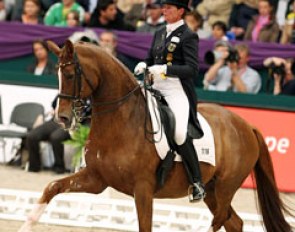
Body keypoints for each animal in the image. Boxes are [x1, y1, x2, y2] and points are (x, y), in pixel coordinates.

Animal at [19, 40, 292, 232]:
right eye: (57, 73)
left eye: (70, 75)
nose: (62, 118)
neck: (121, 121)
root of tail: (246, 125)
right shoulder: (96, 179)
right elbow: (52, 187)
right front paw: (26, 225)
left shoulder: (143, 189)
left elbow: (145, 226)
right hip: (213, 190)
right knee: (233, 222)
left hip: (226, 187)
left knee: (220, 220)